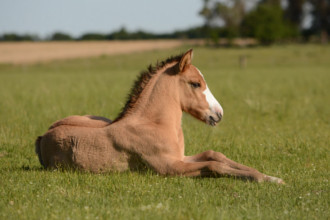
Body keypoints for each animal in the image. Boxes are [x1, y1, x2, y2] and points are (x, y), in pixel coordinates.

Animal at [35, 49, 284, 184]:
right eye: (195, 83)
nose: (219, 114)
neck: (153, 124)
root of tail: (42, 136)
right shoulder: (169, 167)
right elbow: (214, 165)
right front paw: (263, 179)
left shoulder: (180, 157)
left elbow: (215, 155)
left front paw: (270, 177)